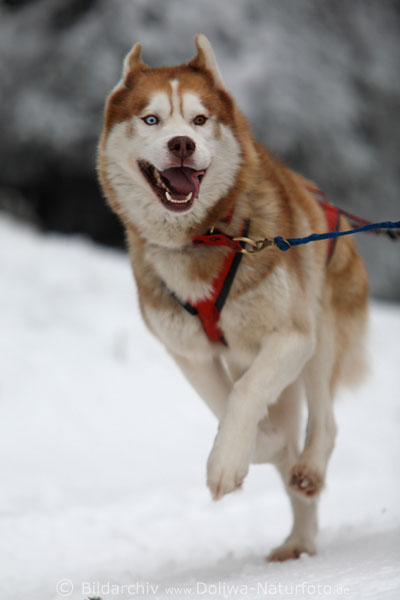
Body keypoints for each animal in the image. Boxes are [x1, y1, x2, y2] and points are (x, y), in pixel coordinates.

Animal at [97, 35, 368, 560]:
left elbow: (243, 397)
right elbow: (225, 406)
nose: (182, 143)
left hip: (320, 333)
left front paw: (230, 461)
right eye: (151, 119)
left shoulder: (289, 338)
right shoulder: (190, 352)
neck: (204, 238)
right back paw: (298, 538)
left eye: (200, 120)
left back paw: (309, 467)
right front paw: (262, 446)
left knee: (324, 420)